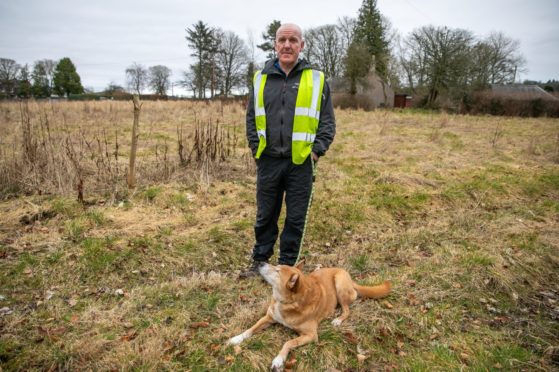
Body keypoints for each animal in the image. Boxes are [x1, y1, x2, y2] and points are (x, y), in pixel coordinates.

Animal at [225, 260, 392, 370]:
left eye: (277, 271)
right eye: (276, 266)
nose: (259, 262)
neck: (287, 302)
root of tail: (350, 279)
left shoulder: (311, 335)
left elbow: (288, 343)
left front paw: (279, 360)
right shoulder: (268, 318)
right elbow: (250, 329)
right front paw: (236, 339)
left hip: (339, 284)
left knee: (347, 310)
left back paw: (338, 320)